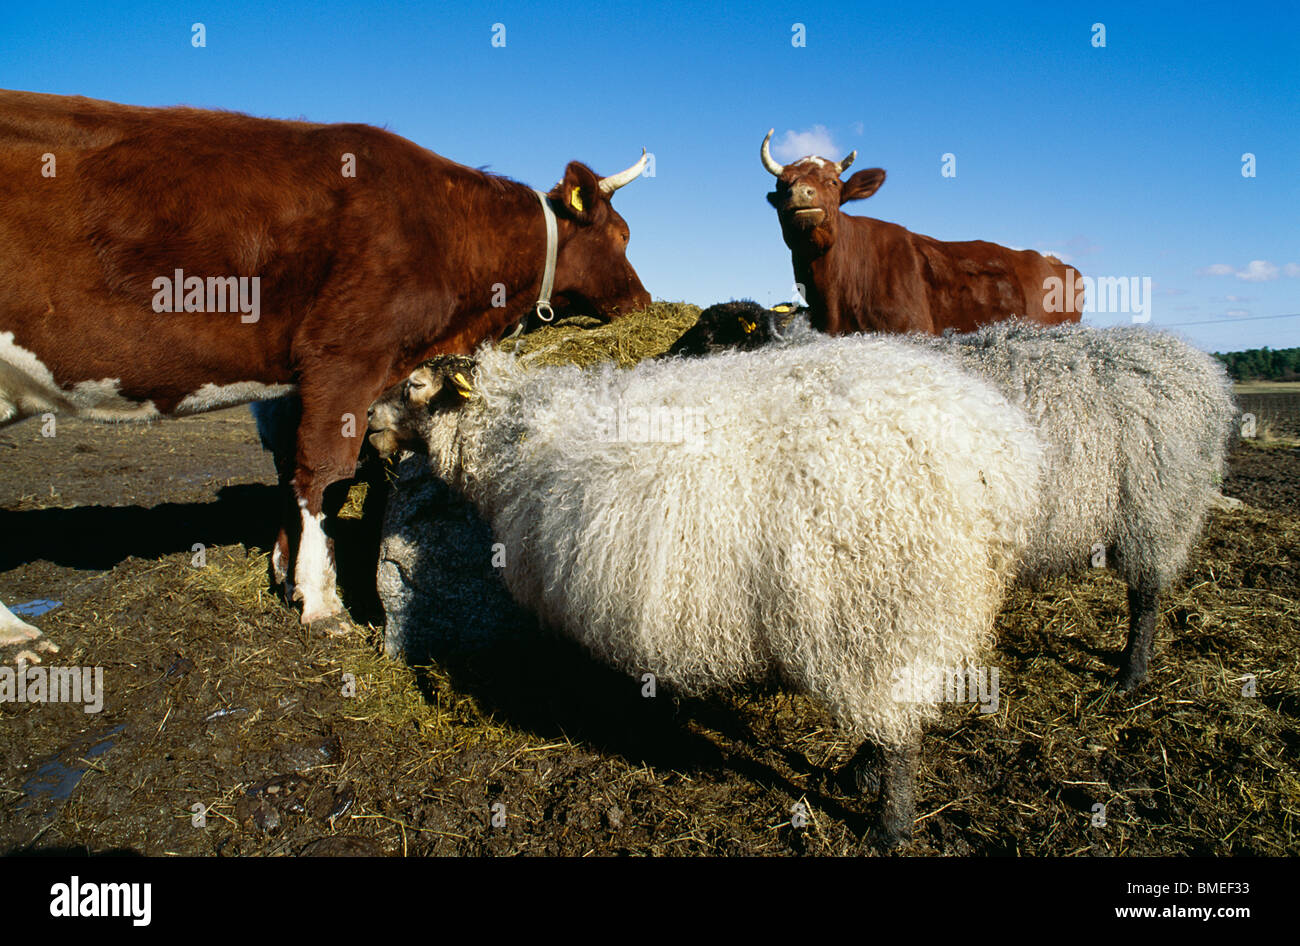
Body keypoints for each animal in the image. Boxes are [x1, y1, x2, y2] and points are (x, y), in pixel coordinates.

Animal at [0, 92, 650, 662]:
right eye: (623, 236)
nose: (644, 302)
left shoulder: (298, 385)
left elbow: (294, 468)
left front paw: (285, 572)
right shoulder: (344, 358)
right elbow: (326, 471)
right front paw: (320, 599)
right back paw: (16, 635)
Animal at [369, 332, 1045, 842]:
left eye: (414, 386)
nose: (370, 420)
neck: (516, 438)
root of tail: (994, 454)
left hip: (881, 602)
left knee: (898, 725)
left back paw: (889, 824)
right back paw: (862, 774)